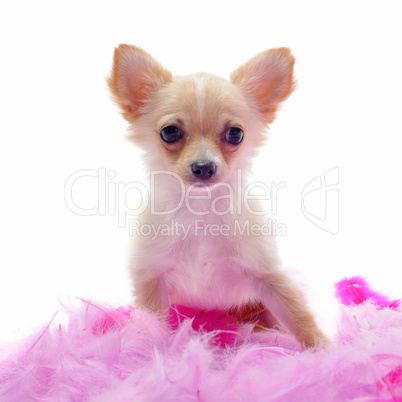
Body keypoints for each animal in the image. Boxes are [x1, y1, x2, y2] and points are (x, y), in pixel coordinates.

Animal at [107, 44, 326, 348]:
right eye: (170, 132)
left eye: (235, 134)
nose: (203, 167)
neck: (199, 210)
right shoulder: (151, 281)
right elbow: (150, 325)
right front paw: (145, 352)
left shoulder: (267, 275)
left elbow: (297, 313)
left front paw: (326, 351)